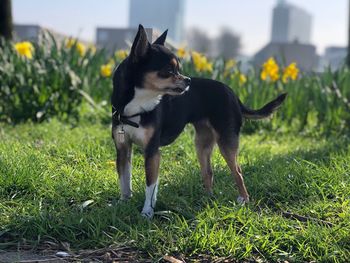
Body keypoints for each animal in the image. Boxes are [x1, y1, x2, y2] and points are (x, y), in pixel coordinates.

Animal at [110, 25, 286, 219]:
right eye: (168, 71)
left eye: (178, 69)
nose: (188, 80)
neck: (135, 106)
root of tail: (233, 94)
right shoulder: (123, 148)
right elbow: (124, 180)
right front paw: (123, 203)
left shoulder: (152, 151)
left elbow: (150, 185)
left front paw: (147, 212)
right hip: (202, 144)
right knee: (208, 172)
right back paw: (208, 199)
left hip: (226, 143)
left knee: (238, 171)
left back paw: (243, 200)